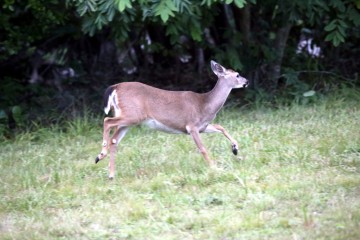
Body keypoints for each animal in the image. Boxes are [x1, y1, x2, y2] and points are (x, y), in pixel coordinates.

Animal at [95, 61, 248, 179]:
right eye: (237, 75)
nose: (247, 81)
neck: (205, 105)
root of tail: (115, 87)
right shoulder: (191, 126)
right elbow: (203, 148)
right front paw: (214, 167)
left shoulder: (202, 127)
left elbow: (221, 127)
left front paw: (235, 149)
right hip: (132, 115)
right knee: (107, 120)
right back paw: (101, 154)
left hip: (128, 119)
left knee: (114, 139)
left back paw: (110, 173)